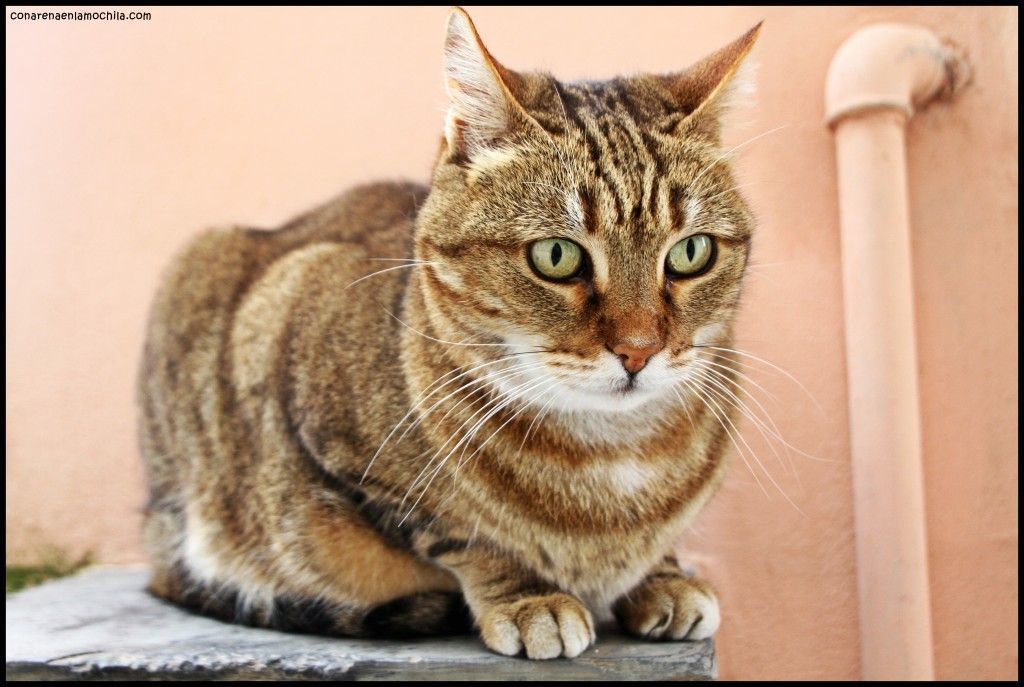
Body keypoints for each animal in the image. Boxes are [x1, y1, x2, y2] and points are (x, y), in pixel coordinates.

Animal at [138, 8, 761, 659]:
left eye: (691, 253)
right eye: (557, 256)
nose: (639, 350)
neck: (614, 457)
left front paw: (664, 577)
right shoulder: (294, 335)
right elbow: (464, 536)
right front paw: (529, 597)